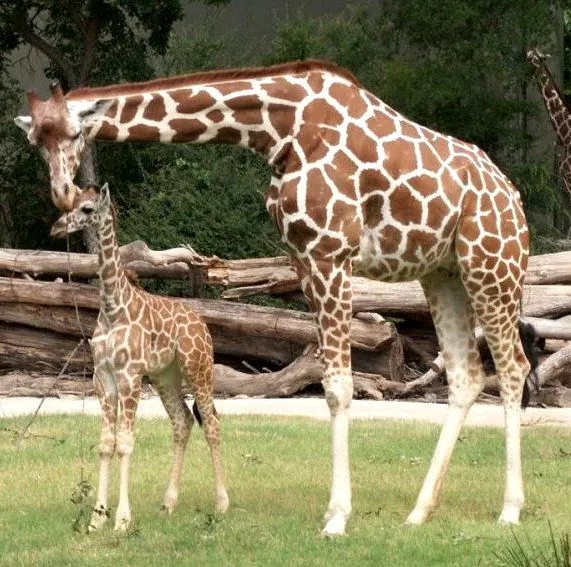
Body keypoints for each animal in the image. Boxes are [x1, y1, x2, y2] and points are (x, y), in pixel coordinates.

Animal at [49, 183, 228, 532]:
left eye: (87, 208)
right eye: (72, 203)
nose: (56, 228)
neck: (112, 307)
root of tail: (202, 324)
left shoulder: (129, 376)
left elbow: (125, 443)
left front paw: (121, 519)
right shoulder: (102, 377)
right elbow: (106, 443)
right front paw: (96, 519)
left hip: (198, 369)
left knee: (211, 423)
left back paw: (222, 503)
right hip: (165, 377)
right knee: (183, 421)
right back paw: (169, 502)